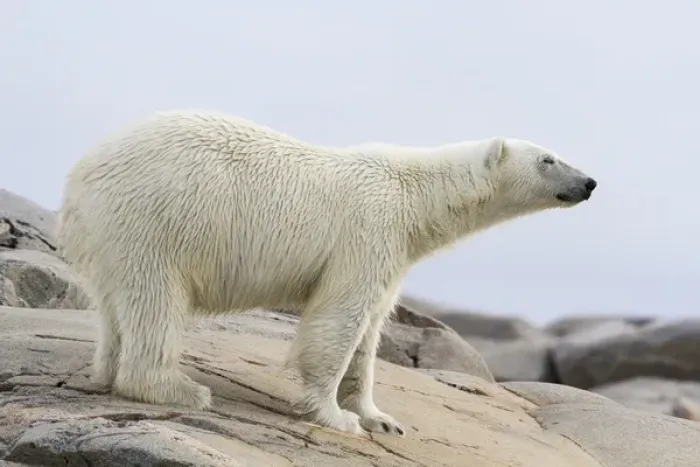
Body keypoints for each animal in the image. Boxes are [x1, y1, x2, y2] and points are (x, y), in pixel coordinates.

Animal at [57, 109, 597, 437]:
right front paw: (335, 416)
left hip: (112, 234)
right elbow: (339, 319)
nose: (590, 182)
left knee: (114, 306)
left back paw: (104, 373)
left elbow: (370, 332)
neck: (415, 195)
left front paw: (380, 418)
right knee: (156, 300)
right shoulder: (369, 230)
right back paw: (177, 388)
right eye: (548, 158)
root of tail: (79, 176)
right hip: (155, 220)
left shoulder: (395, 251)